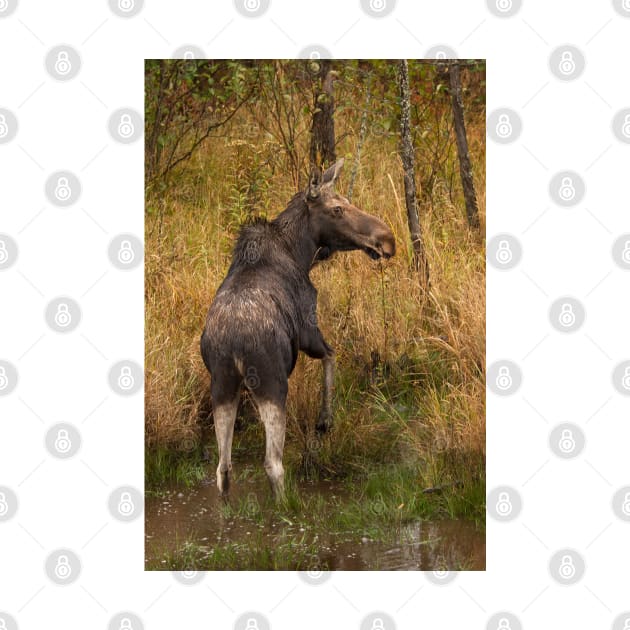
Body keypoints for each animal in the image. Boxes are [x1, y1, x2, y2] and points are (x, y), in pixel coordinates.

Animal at [202, 159, 398, 504]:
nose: (386, 239)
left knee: (223, 467)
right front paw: (324, 420)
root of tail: (234, 345)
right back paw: (288, 507)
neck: (301, 252)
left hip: (222, 387)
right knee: (273, 464)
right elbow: (332, 355)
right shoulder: (308, 327)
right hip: (272, 383)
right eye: (336, 209)